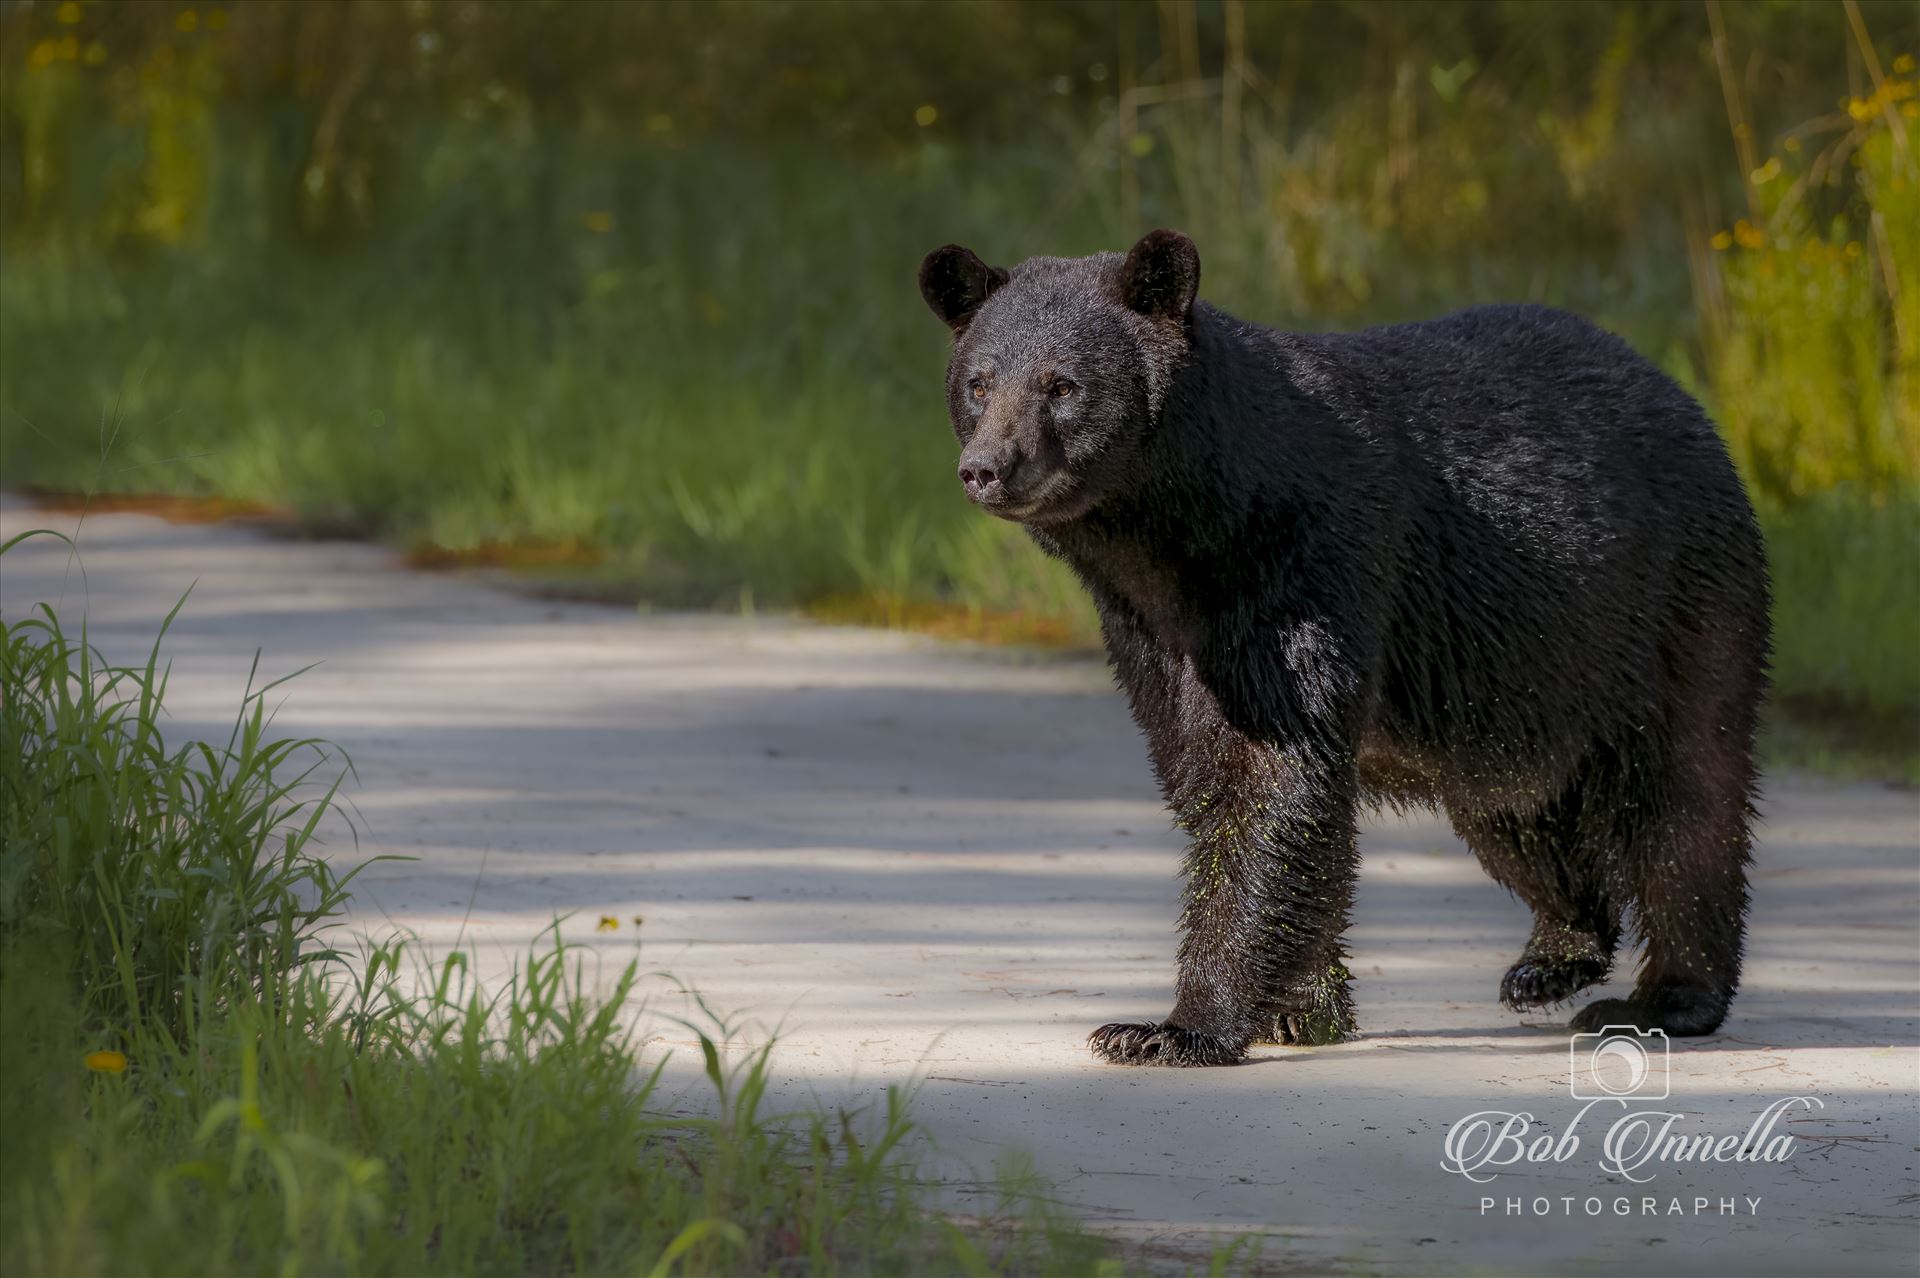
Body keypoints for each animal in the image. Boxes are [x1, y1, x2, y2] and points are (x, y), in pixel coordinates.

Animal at [913, 229, 1766, 1066]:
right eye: (980, 382)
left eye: (1062, 385)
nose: (986, 468)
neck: (1183, 535)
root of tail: (1687, 402)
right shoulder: (1151, 632)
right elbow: (1206, 768)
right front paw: (1304, 1009)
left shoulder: (1302, 565)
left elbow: (1272, 776)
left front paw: (1175, 1027)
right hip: (1505, 692)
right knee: (1513, 810)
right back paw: (1554, 956)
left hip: (1677, 605)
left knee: (1685, 803)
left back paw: (1666, 996)